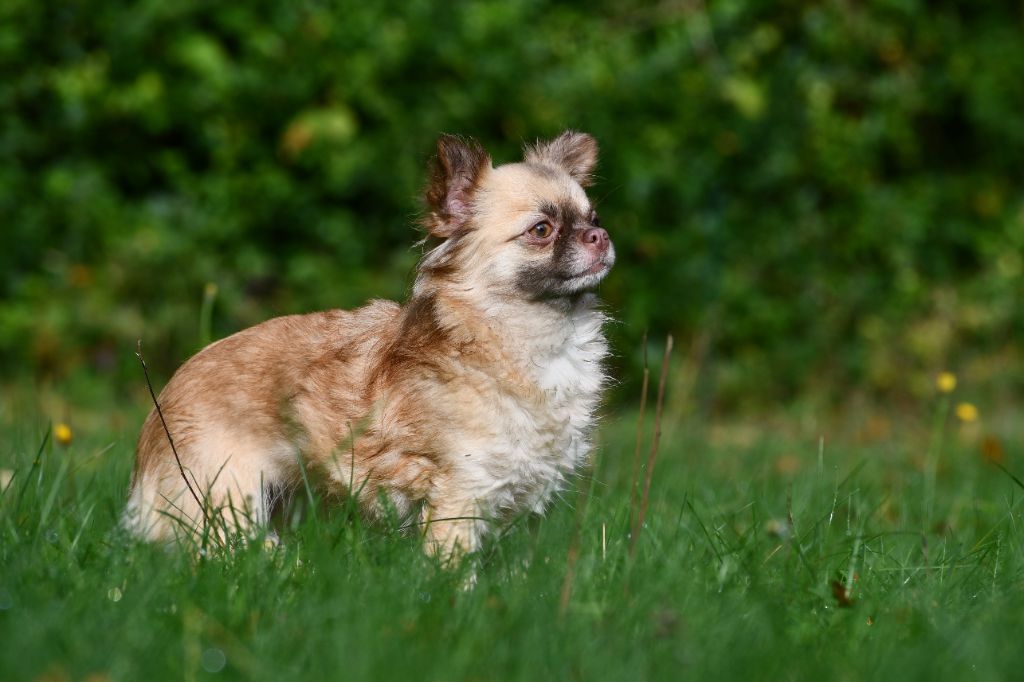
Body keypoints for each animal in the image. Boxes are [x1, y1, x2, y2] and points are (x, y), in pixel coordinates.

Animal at [123, 130, 610, 557]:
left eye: (594, 219)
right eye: (542, 230)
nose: (600, 237)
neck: (534, 339)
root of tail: (161, 405)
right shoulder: (459, 498)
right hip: (226, 506)